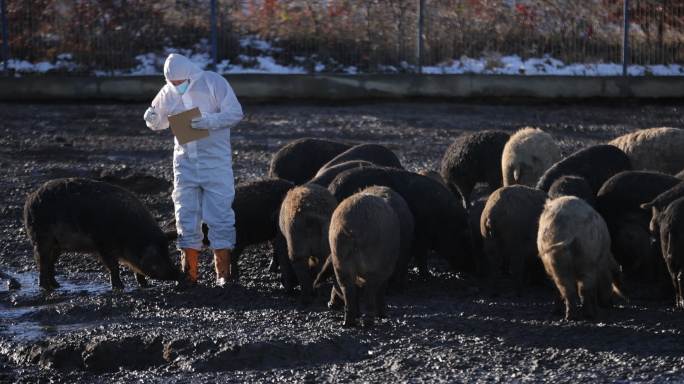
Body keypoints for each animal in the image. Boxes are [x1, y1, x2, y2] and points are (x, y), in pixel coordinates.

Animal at [24, 178, 180, 290]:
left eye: (167, 251)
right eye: (157, 256)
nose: (179, 273)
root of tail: (29, 200)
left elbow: (136, 269)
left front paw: (145, 285)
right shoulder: (103, 244)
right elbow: (113, 267)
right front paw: (119, 287)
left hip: (57, 245)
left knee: (50, 262)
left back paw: (57, 285)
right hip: (41, 237)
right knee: (42, 261)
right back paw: (46, 288)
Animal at [328, 194, 398, 326]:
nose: (330, 304)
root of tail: (352, 228)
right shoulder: (385, 270)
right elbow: (381, 290)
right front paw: (383, 315)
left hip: (339, 258)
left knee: (348, 290)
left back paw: (348, 323)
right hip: (372, 264)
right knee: (369, 293)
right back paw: (368, 323)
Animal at [330, 166, 470, 274]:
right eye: (463, 239)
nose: (471, 270)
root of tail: (332, 189)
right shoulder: (421, 236)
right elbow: (420, 256)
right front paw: (427, 275)